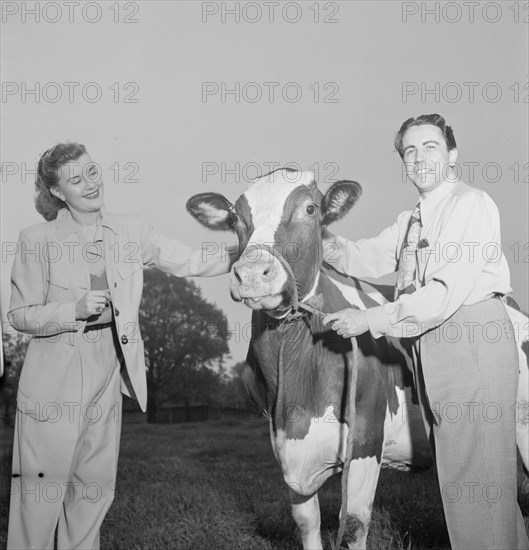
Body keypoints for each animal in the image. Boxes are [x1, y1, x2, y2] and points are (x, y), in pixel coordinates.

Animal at [187, 170, 528, 548]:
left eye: (310, 209)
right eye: (235, 218)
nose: (251, 273)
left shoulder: (366, 438)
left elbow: (352, 524)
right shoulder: (286, 448)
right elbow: (307, 522)